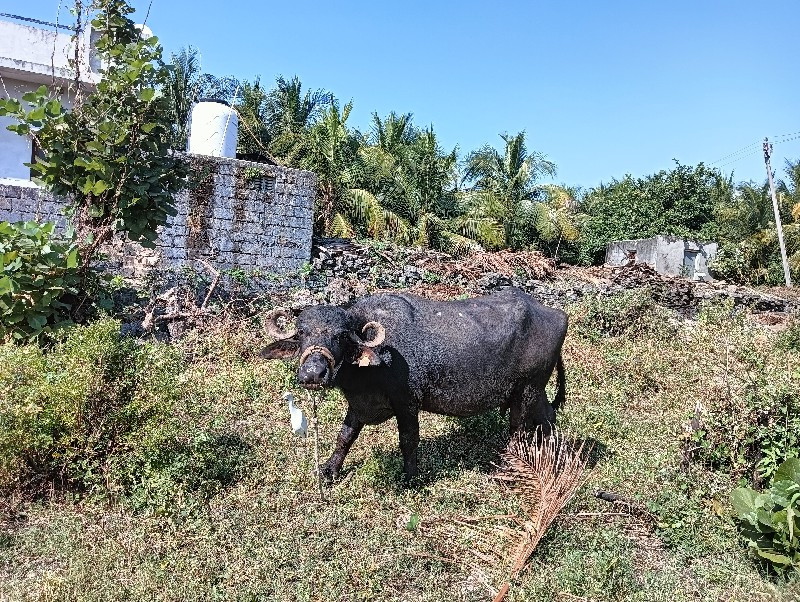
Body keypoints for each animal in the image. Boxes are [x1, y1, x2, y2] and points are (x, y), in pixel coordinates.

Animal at [262, 288, 568, 482]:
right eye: (302, 333)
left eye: (340, 336)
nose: (313, 373)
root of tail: (557, 314)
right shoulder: (360, 404)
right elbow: (345, 436)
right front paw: (329, 470)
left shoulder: (407, 402)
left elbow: (408, 440)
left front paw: (411, 477)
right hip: (535, 390)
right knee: (547, 418)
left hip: (527, 389)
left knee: (518, 429)